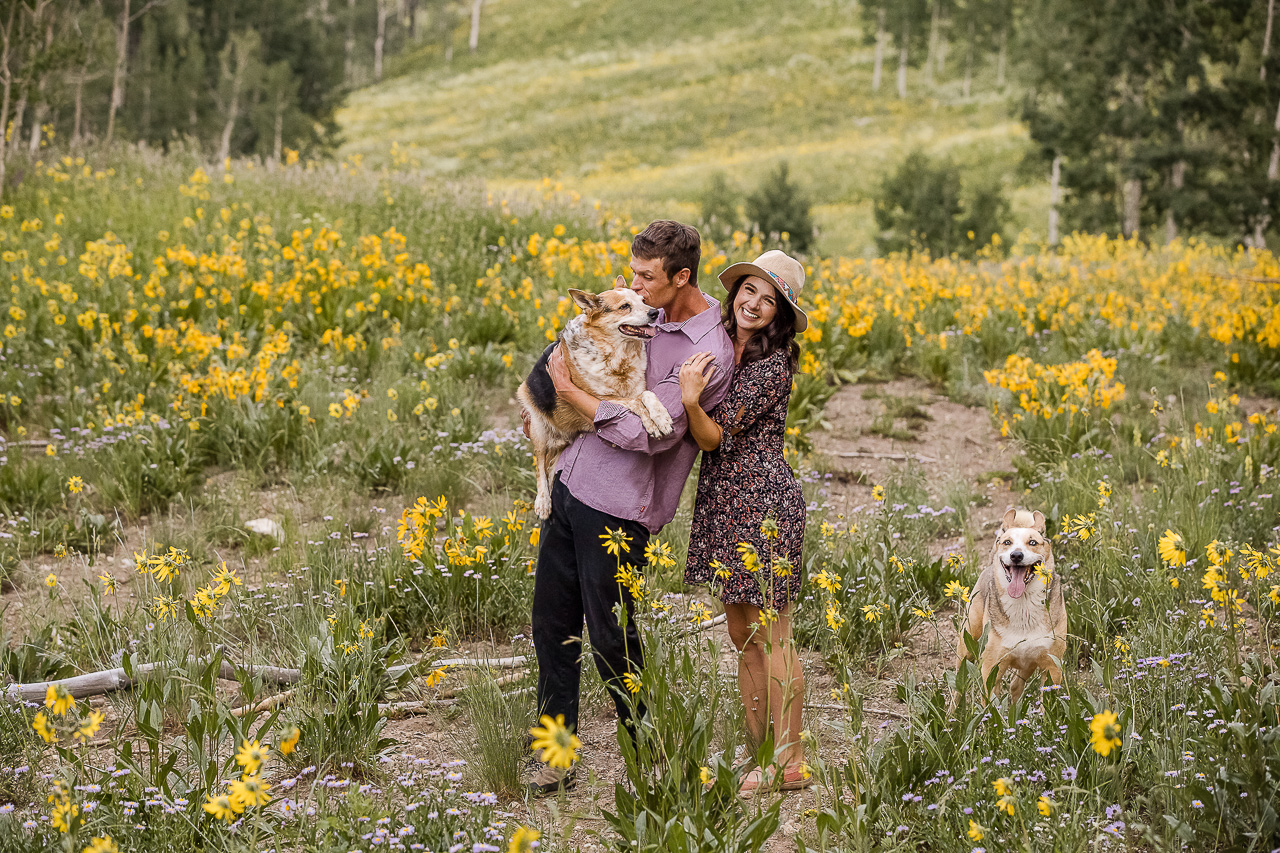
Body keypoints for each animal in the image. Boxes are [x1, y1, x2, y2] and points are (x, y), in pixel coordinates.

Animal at [512, 281, 670, 514]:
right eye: (625, 306)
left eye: (643, 301)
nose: (654, 312)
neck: (616, 357)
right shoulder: (597, 398)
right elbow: (635, 402)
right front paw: (652, 423)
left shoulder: (637, 388)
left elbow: (646, 395)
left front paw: (661, 418)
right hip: (537, 424)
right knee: (540, 462)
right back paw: (543, 501)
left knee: (550, 466)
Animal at [957, 507, 1064, 701]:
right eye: (1007, 542)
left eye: (1032, 542)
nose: (1016, 555)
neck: (1024, 604)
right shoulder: (991, 668)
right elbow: (992, 703)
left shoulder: (1052, 666)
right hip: (966, 644)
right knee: (957, 688)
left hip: (1029, 663)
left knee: (1015, 685)